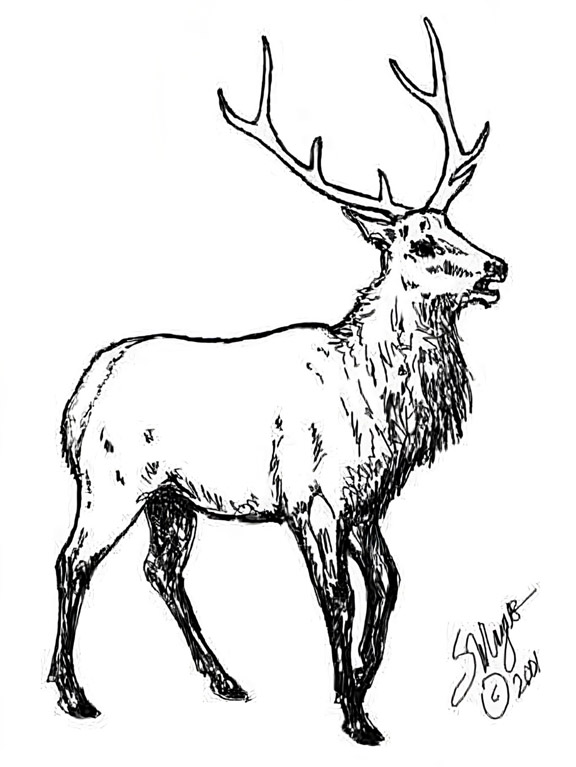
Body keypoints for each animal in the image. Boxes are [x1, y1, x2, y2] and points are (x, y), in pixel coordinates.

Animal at [48, 18, 507, 745]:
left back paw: (224, 678)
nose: (497, 266)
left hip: (172, 498)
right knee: (73, 561)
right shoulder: (311, 498)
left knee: (159, 570)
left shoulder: (365, 503)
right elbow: (337, 596)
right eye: (422, 244)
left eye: (456, 225)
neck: (380, 403)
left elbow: (389, 583)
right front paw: (354, 712)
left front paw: (362, 678)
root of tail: (79, 399)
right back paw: (72, 692)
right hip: (110, 482)